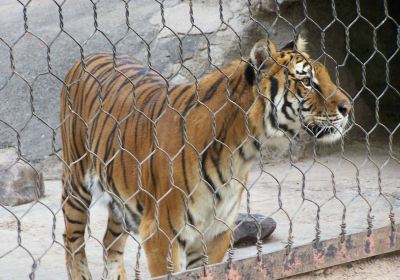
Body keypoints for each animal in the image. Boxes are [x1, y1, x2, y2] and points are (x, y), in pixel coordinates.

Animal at [59, 36, 350, 278]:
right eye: (306, 82)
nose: (348, 107)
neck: (241, 150)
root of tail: (88, 55)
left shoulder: (216, 233)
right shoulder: (161, 234)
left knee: (110, 245)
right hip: (76, 185)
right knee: (72, 243)